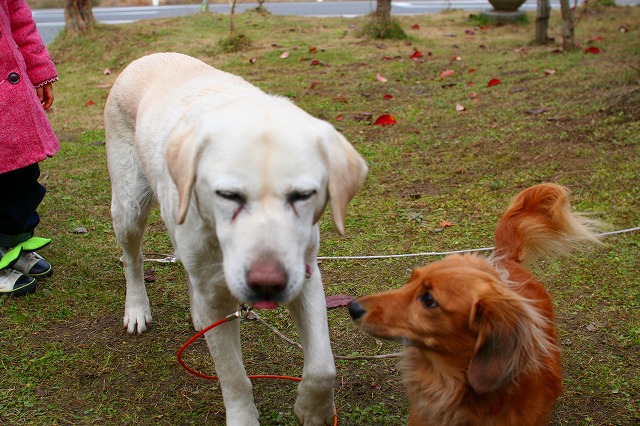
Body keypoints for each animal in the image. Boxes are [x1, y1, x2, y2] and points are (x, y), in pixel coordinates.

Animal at [103, 53, 368, 426]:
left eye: (303, 195)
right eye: (228, 195)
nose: (267, 284)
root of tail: (147, 56)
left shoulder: (305, 276)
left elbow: (322, 367)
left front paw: (313, 410)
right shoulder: (218, 297)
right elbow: (233, 376)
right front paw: (244, 416)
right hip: (129, 205)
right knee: (133, 259)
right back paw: (137, 308)